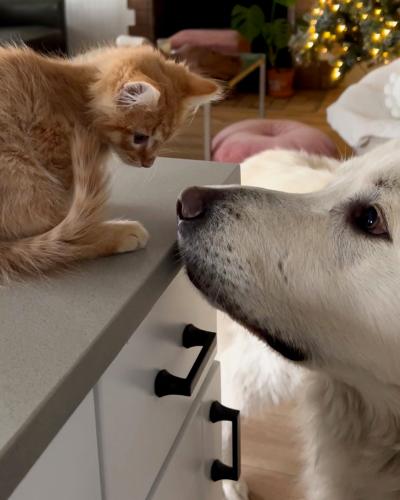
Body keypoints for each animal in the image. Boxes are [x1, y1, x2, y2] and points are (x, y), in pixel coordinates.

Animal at [0, 44, 220, 282]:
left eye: (164, 139)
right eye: (140, 137)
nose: (148, 163)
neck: (80, 98)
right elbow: (72, 221)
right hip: (24, 174)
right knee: (68, 238)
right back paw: (120, 233)